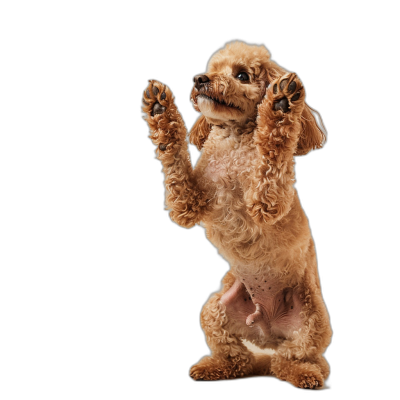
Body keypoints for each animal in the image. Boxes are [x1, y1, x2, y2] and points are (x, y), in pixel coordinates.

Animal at [141, 41, 332, 390]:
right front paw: (160, 111)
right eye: (212, 69)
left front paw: (280, 106)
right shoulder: (187, 203)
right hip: (215, 309)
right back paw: (214, 367)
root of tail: (268, 336)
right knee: (238, 357)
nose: (199, 79)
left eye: (242, 75)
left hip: (312, 321)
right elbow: (174, 164)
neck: (233, 140)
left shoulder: (268, 201)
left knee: (298, 359)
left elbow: (273, 151)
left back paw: (303, 375)